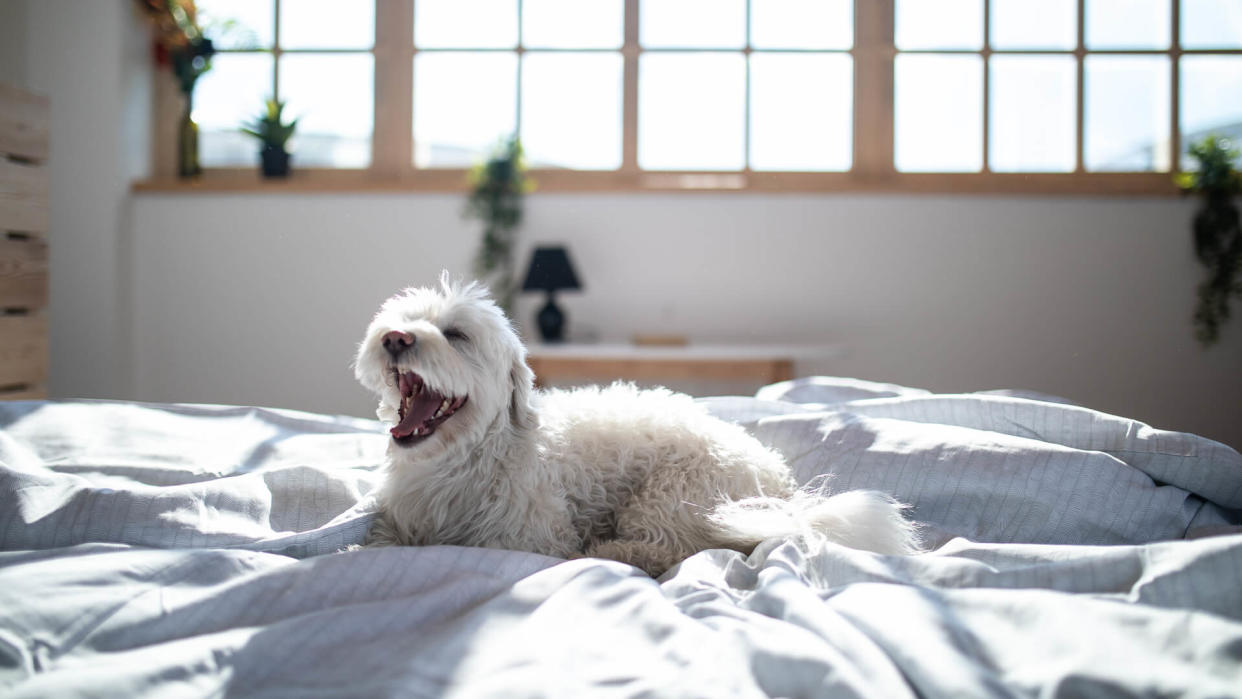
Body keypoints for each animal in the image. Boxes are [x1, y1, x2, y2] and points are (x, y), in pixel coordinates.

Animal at [355, 273, 919, 573]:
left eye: (456, 335)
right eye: (401, 321)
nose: (396, 338)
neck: (462, 460)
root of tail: (782, 487)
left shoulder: (529, 539)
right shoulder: (397, 522)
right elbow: (377, 543)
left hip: (672, 495)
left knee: (676, 549)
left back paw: (611, 551)